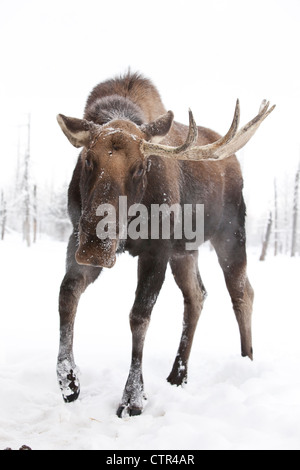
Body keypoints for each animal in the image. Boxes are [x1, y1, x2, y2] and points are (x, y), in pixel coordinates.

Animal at [56, 71, 274, 416]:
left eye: (140, 166)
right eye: (88, 159)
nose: (95, 247)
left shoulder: (156, 249)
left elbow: (139, 316)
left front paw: (132, 397)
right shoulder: (75, 235)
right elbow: (67, 294)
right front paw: (69, 381)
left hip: (230, 232)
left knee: (242, 291)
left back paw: (247, 360)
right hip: (185, 250)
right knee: (197, 295)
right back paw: (178, 373)